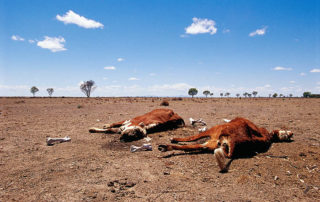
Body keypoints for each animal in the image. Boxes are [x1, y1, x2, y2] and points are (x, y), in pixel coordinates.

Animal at [158, 117, 292, 172]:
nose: (291, 134)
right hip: (211, 142)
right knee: (191, 144)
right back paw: (165, 146)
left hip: (212, 134)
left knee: (192, 140)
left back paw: (166, 145)